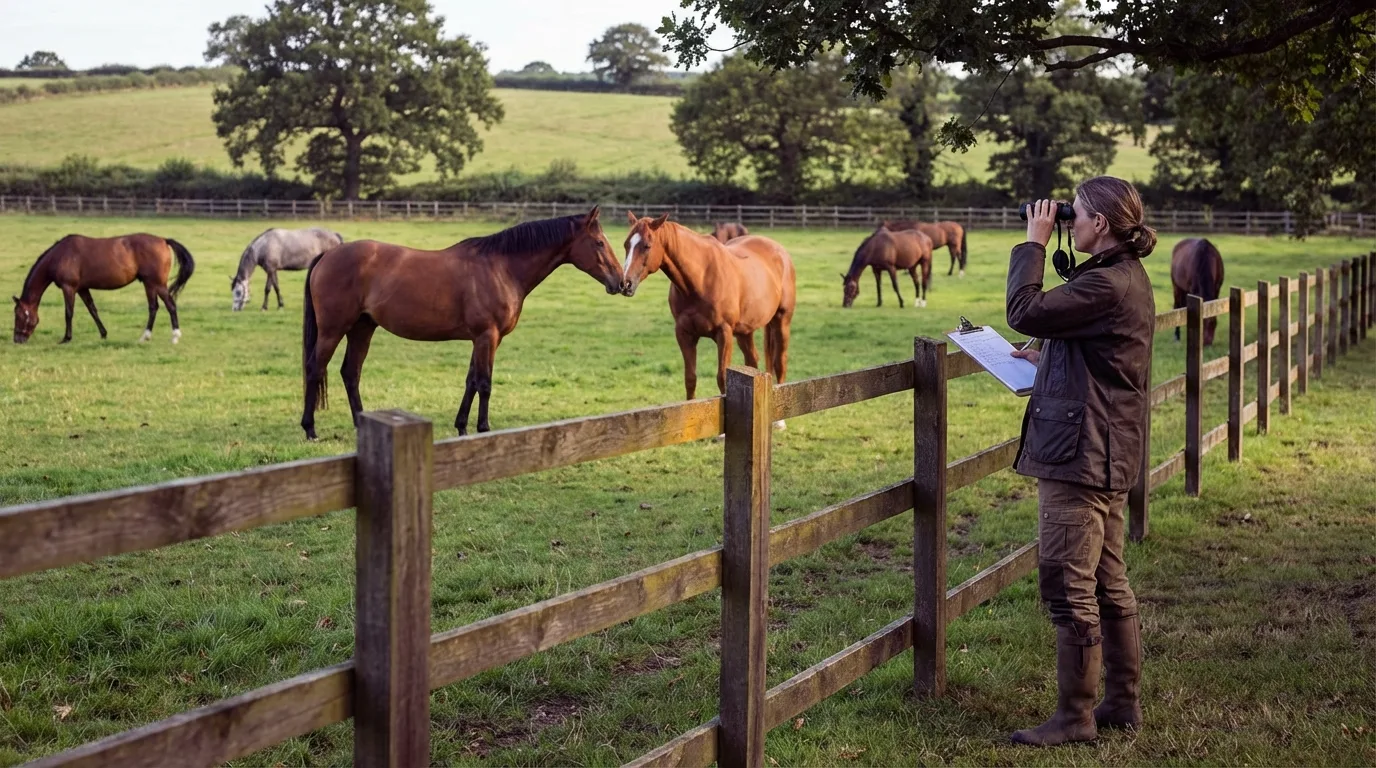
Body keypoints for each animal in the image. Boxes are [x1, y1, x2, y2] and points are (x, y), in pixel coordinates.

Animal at [13, 233, 194, 345]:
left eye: (19, 315)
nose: (17, 339)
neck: (60, 255)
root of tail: (163, 240)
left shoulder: (69, 288)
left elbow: (69, 313)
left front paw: (66, 338)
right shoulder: (82, 288)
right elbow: (92, 309)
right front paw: (103, 333)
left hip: (157, 283)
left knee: (170, 305)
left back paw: (175, 337)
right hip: (149, 284)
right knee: (153, 307)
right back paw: (145, 337)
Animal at [300, 208, 622, 440]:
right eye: (599, 242)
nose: (620, 282)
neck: (501, 268)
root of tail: (327, 254)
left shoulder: (482, 339)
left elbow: (471, 381)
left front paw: (462, 426)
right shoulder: (487, 336)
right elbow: (485, 383)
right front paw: (483, 428)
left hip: (362, 328)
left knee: (350, 372)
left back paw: (359, 424)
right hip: (333, 330)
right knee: (315, 369)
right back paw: (310, 429)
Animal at [620, 212, 796, 423]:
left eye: (646, 245)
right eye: (626, 244)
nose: (625, 284)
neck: (700, 278)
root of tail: (779, 250)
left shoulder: (724, 333)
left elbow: (722, 377)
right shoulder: (684, 334)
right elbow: (690, 377)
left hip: (781, 321)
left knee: (780, 362)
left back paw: (780, 421)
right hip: (745, 332)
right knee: (753, 360)